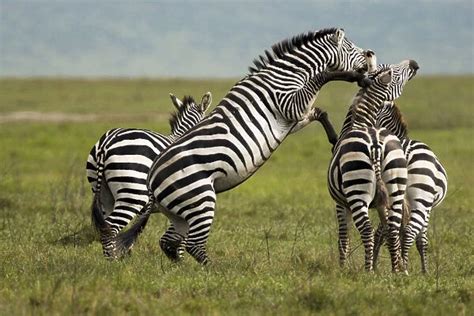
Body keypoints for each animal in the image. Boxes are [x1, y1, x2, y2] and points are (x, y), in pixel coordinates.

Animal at [86, 90, 212, 256]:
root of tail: (106, 144)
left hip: (102, 193)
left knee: (105, 226)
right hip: (132, 193)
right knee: (111, 227)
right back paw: (114, 260)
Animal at [108, 27, 374, 264]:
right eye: (352, 47)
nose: (371, 53)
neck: (287, 75)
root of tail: (152, 179)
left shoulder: (292, 119)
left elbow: (320, 112)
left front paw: (334, 139)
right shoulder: (288, 104)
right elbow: (322, 82)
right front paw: (345, 75)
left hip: (179, 211)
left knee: (170, 243)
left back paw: (180, 269)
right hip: (200, 198)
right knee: (192, 244)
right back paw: (214, 271)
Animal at [326, 52, 418, 272]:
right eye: (393, 70)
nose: (415, 64)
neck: (361, 121)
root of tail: (375, 143)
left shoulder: (340, 204)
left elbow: (343, 237)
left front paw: (342, 268)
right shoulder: (382, 203)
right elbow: (386, 229)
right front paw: (397, 263)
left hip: (356, 189)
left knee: (366, 230)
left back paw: (367, 271)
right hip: (395, 186)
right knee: (393, 227)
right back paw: (396, 271)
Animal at [372, 102, 446, 272]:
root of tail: (404, 151)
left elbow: (384, 232)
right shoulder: (428, 207)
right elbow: (422, 240)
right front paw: (425, 271)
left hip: (391, 196)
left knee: (386, 231)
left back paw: (382, 266)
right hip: (421, 200)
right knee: (409, 231)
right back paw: (404, 268)